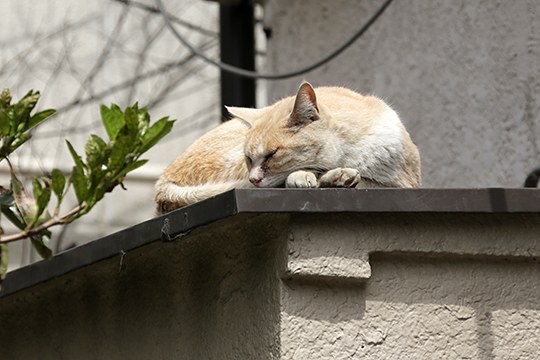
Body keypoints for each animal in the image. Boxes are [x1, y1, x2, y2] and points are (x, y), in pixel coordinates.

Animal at [155, 81, 422, 214]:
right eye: (248, 158)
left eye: (272, 154)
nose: (253, 180)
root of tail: (162, 180)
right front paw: (314, 176)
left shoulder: (402, 185)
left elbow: (366, 180)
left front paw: (336, 176)